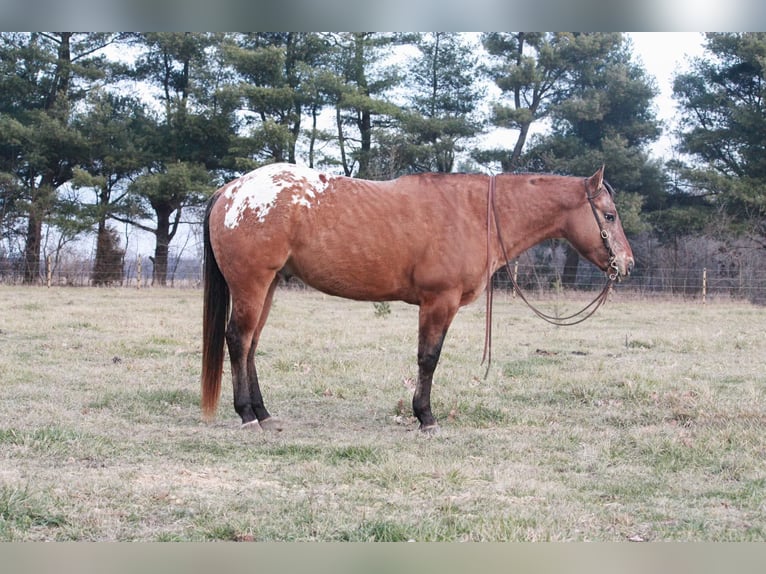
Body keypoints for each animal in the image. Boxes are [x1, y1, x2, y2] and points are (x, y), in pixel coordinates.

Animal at [200, 162, 636, 432]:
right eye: (609, 216)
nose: (627, 263)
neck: (475, 213)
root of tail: (231, 190)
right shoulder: (439, 302)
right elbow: (429, 359)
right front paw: (425, 417)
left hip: (269, 285)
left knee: (251, 344)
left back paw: (263, 412)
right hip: (253, 284)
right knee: (238, 340)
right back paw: (246, 415)